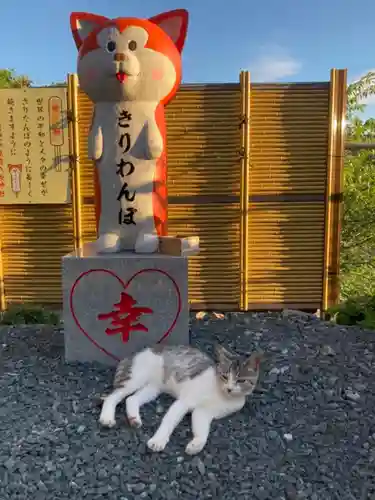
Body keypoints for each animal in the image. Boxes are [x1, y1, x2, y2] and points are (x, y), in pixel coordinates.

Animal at [98, 344, 262, 454]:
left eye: (241, 381)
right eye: (224, 376)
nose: (229, 388)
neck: (222, 395)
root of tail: (133, 353)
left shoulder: (204, 412)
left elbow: (202, 430)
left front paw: (196, 445)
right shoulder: (185, 401)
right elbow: (169, 420)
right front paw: (158, 440)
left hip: (153, 388)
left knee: (131, 399)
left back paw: (134, 419)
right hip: (135, 378)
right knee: (112, 397)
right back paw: (107, 418)